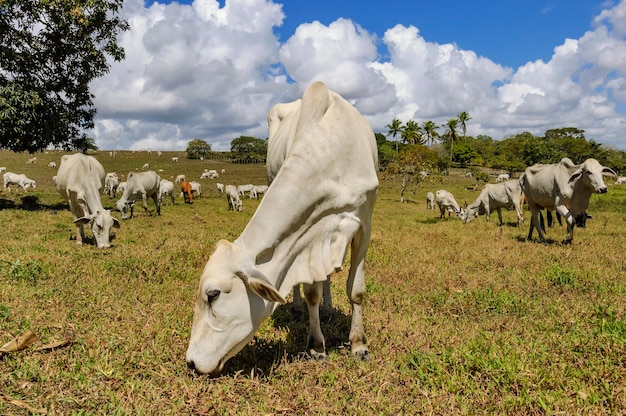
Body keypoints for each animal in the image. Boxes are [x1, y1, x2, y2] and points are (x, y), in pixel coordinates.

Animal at [185, 80, 378, 374]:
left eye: (213, 294)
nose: (191, 362)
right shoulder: (309, 236)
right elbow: (311, 291)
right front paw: (317, 346)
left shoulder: (363, 222)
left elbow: (355, 289)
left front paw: (359, 345)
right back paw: (299, 309)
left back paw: (329, 310)